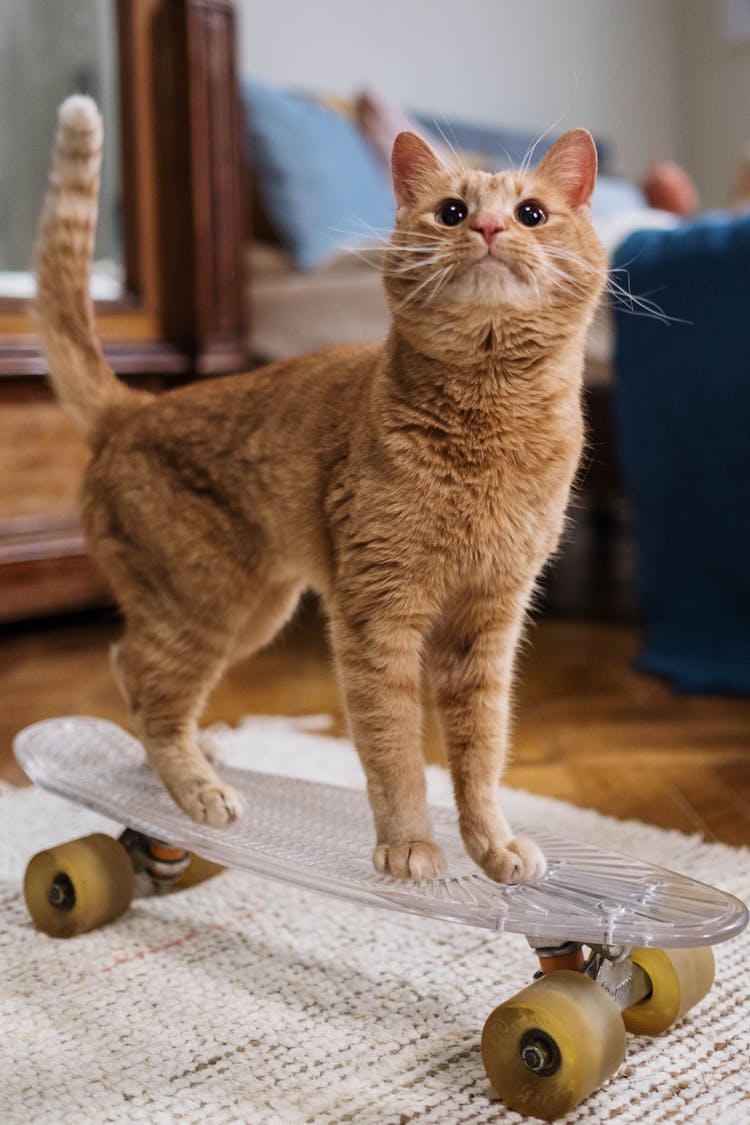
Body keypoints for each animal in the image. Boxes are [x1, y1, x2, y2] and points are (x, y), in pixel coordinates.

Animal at [38, 96, 607, 882]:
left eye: (531, 213)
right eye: (452, 212)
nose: (490, 229)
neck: (488, 425)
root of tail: (134, 408)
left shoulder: (488, 623)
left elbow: (481, 751)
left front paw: (491, 843)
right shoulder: (376, 616)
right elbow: (395, 748)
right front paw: (409, 845)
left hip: (251, 610)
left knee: (133, 668)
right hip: (208, 605)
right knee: (153, 696)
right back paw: (198, 787)